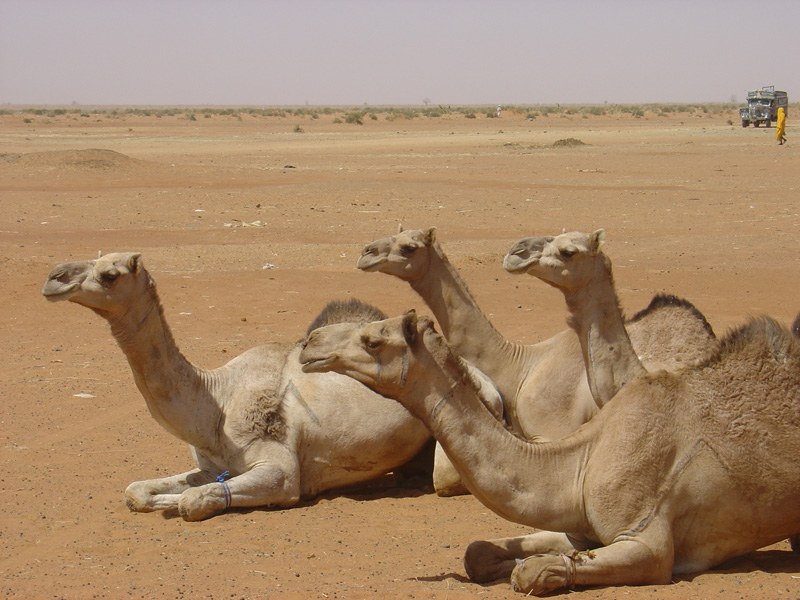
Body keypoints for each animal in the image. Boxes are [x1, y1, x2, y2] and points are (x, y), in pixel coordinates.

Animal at [41, 252, 434, 521]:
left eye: (110, 274)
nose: (53, 278)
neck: (217, 402)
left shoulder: (281, 470)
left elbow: (195, 499)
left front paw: (176, 501)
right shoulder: (212, 465)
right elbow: (136, 491)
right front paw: (158, 498)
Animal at [300, 309, 800, 595]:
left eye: (373, 340)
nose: (308, 344)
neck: (582, 458)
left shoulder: (648, 538)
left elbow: (535, 574)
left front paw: (528, 570)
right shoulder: (579, 527)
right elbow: (478, 552)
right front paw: (505, 559)